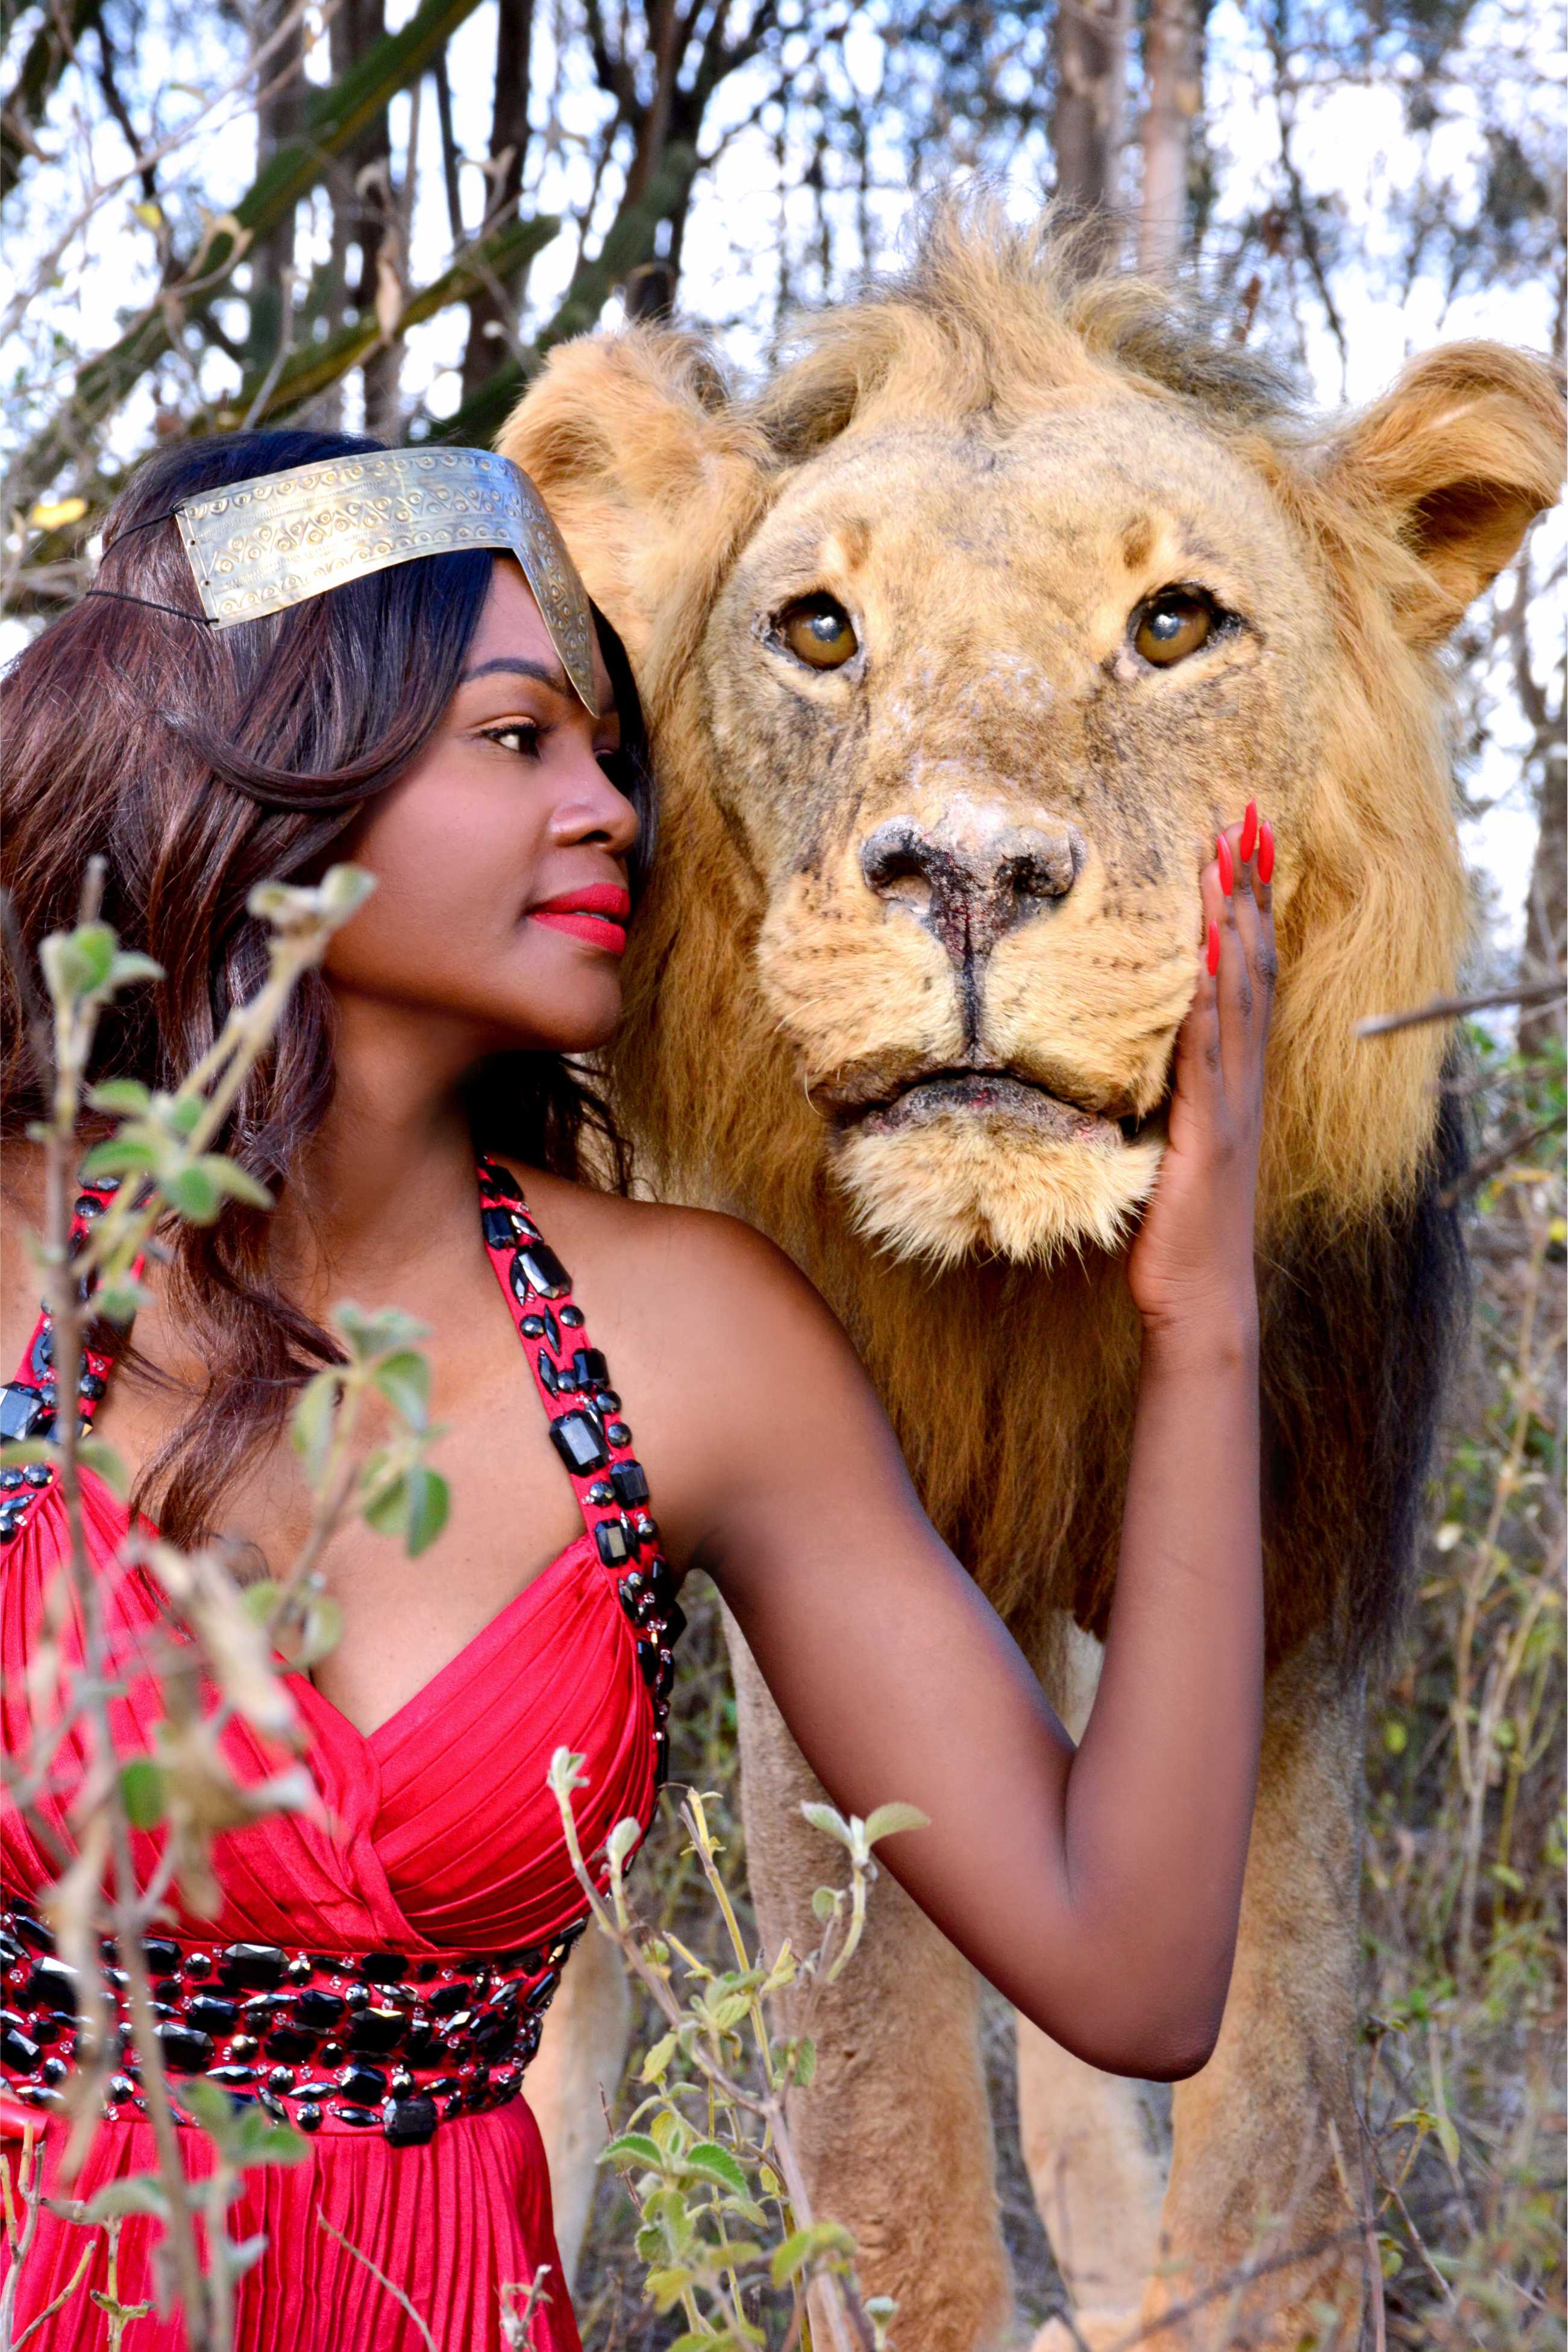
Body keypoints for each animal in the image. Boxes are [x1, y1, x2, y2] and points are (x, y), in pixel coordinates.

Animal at [500, 204, 1564, 2347]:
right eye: (820, 629)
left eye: (1175, 624)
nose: (971, 874)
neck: (1049, 1295)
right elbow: (893, 2179)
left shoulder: (1298, 1580)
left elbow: (1273, 2158)